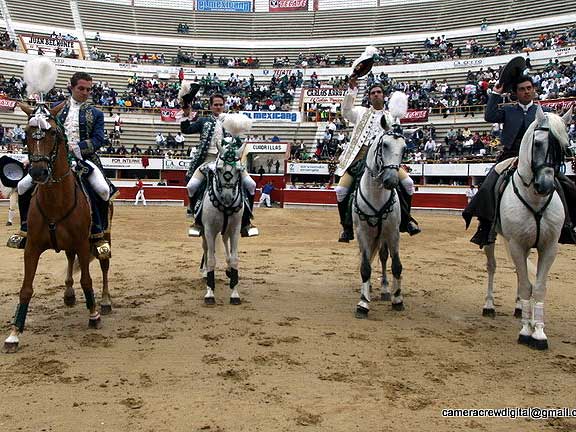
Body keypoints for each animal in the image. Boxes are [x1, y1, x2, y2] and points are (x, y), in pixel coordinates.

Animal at [3, 103, 112, 352]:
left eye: (53, 132)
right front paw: (14, 333)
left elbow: (87, 280)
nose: (38, 172)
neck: (55, 200)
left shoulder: (82, 244)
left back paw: (105, 301)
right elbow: (26, 288)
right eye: (26, 132)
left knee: (104, 265)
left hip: (105, 236)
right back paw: (69, 294)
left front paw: (94, 315)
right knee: (70, 259)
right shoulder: (32, 247)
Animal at [200, 140, 245, 306]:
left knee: (225, 243)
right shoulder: (209, 230)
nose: (227, 197)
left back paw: (228, 270)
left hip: (227, 230)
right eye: (219, 169)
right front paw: (209, 293)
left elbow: (235, 259)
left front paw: (235, 294)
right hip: (204, 233)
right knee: (206, 249)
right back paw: (205, 273)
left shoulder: (235, 229)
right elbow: (211, 260)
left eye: (239, 170)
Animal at [482, 106, 572, 350]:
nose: (545, 185)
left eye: (563, 146)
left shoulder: (549, 247)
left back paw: (519, 307)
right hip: (492, 237)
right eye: (538, 143)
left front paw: (538, 332)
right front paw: (525, 331)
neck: (535, 199)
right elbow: (525, 285)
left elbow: (537, 286)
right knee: (492, 266)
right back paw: (489, 305)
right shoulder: (516, 244)